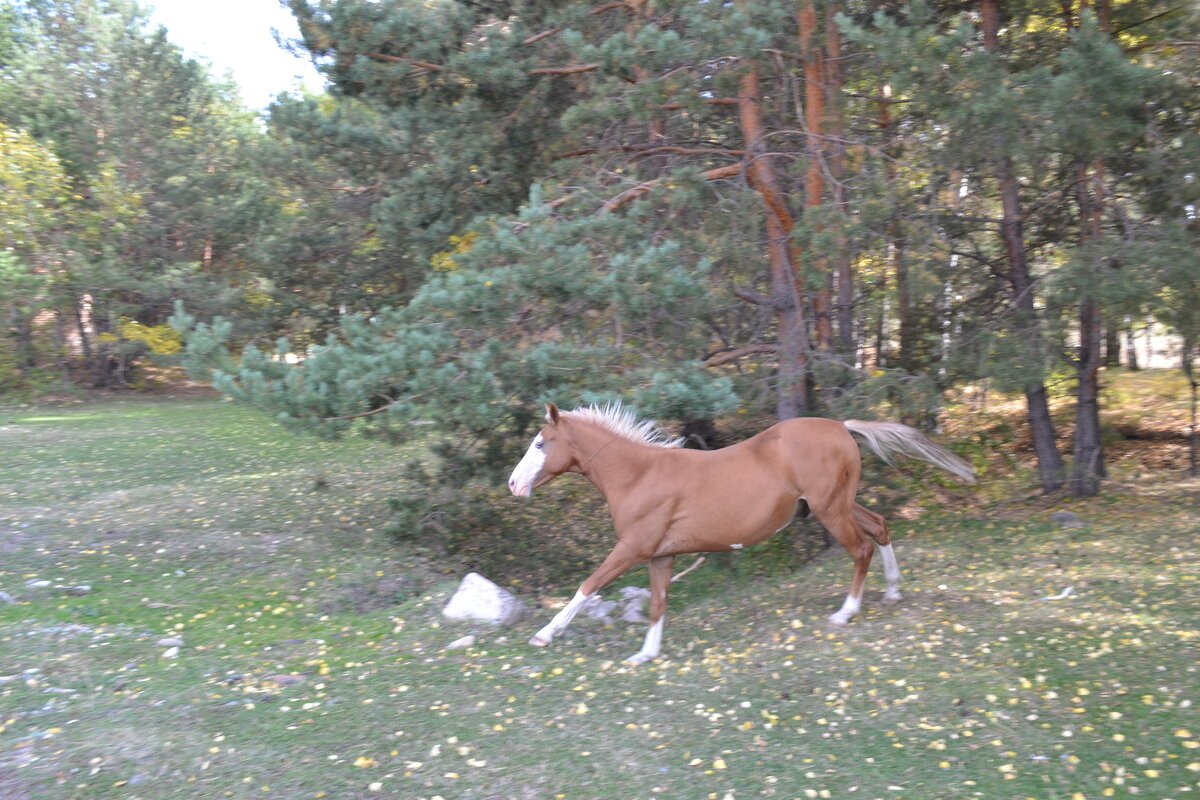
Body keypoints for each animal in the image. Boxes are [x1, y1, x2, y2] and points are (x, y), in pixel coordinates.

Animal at [506, 402, 974, 666]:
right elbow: (658, 604)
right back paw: (893, 590)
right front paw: (646, 654)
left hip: (829, 510)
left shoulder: (633, 548)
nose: (512, 485)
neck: (638, 475)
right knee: (879, 526)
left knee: (860, 549)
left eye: (540, 444)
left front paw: (544, 634)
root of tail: (842, 426)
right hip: (837, 504)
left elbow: (588, 586)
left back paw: (846, 613)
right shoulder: (660, 555)